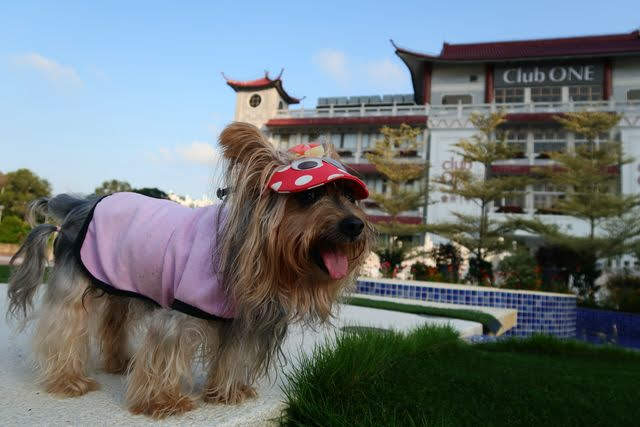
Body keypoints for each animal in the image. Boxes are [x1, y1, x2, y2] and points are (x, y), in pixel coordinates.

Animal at [6, 122, 374, 418]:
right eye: (309, 197)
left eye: (349, 197)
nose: (355, 226)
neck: (247, 249)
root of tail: (79, 204)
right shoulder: (180, 309)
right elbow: (165, 349)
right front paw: (163, 403)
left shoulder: (242, 320)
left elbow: (234, 356)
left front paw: (228, 393)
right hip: (74, 281)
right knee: (64, 325)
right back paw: (69, 380)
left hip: (119, 281)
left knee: (114, 318)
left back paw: (119, 363)